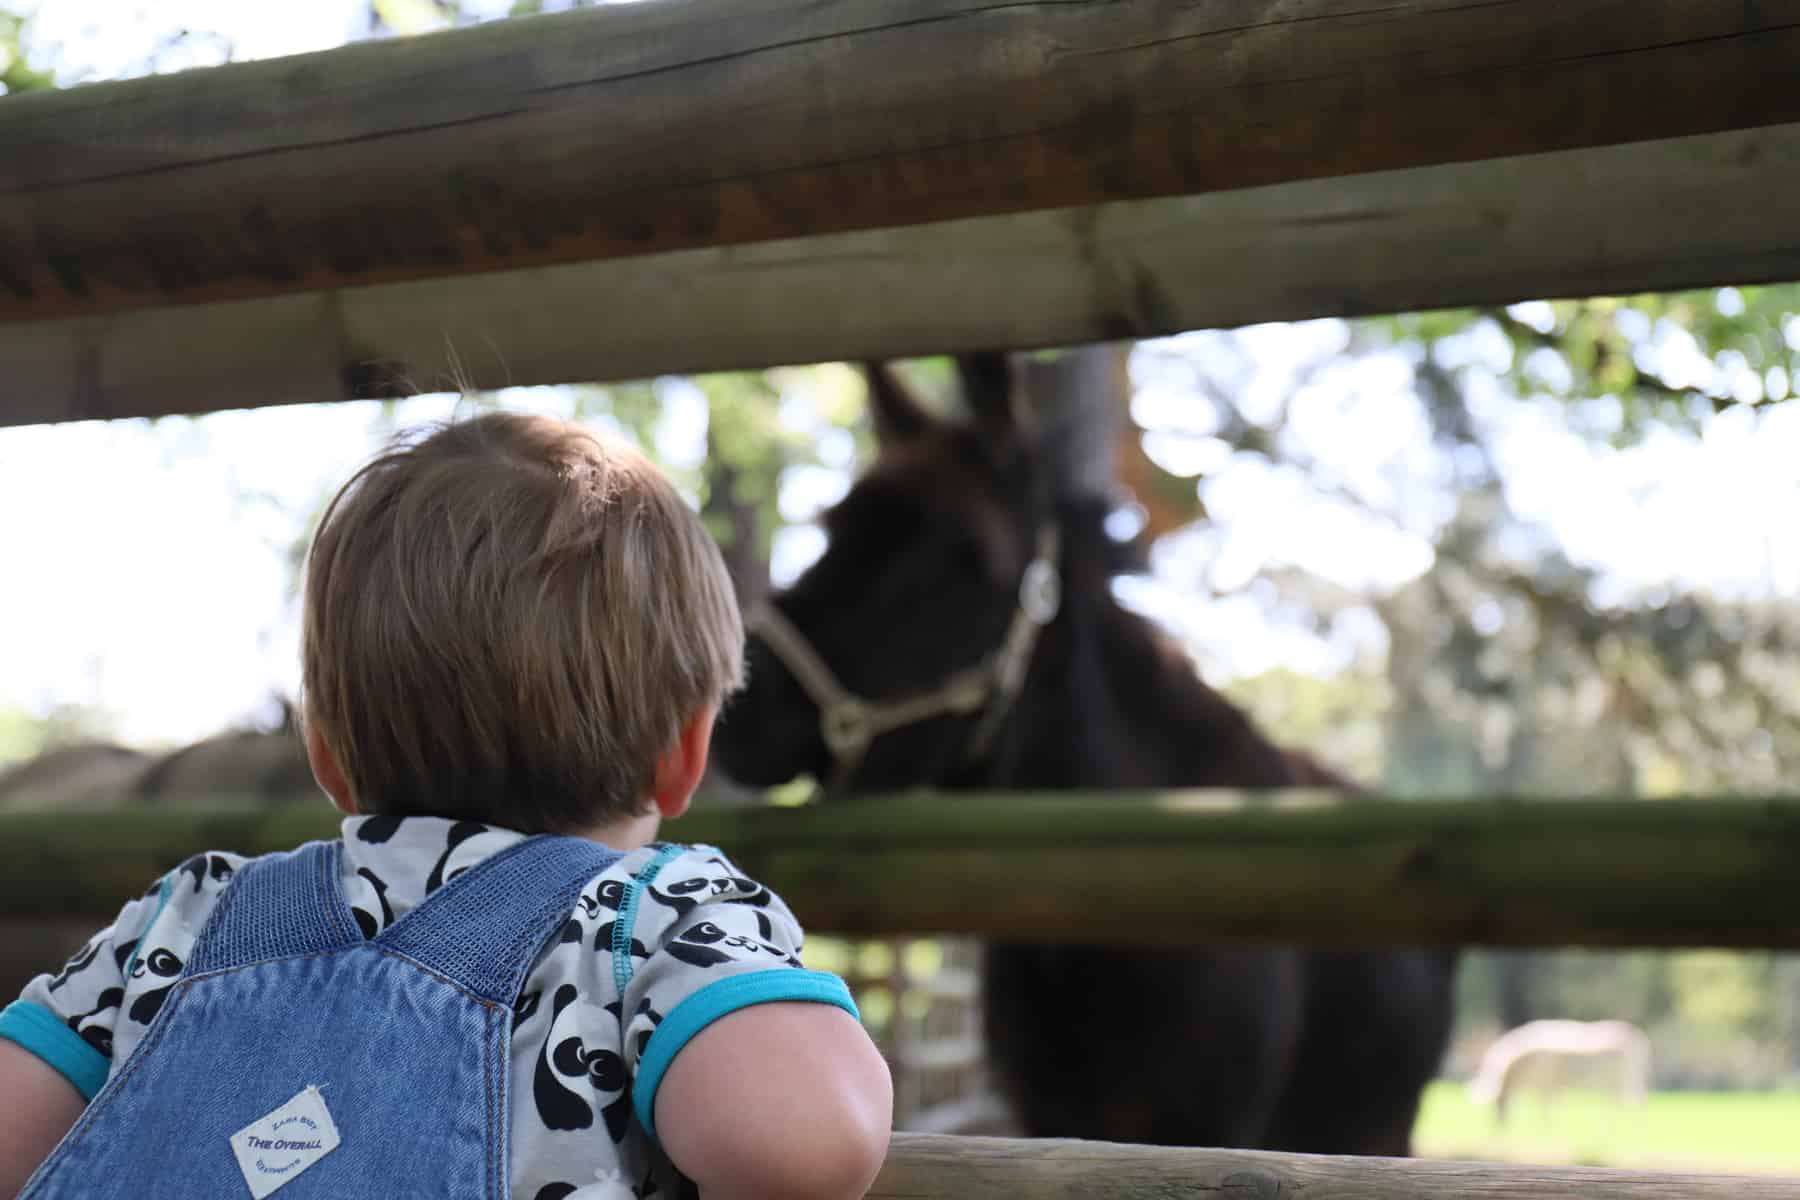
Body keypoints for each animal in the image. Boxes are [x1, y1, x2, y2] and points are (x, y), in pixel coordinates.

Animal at [709, 356, 1454, 1151]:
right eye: (832, 529)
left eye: (962, 558)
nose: (739, 705)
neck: (1092, 937)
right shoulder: (1049, 1113)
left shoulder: (1205, 1128)